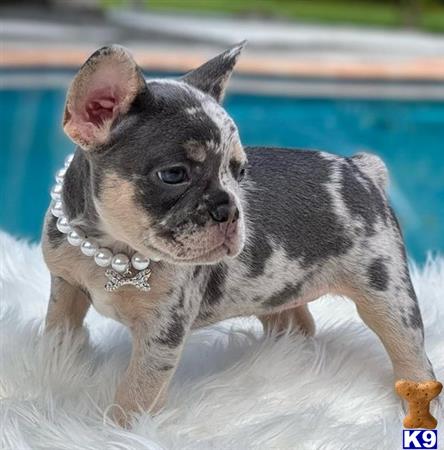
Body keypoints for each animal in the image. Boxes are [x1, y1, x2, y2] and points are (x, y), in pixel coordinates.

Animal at [42, 43, 434, 426]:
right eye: (173, 174)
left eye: (240, 172)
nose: (229, 210)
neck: (111, 249)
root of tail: (361, 169)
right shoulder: (66, 286)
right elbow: (58, 332)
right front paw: (56, 369)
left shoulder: (163, 331)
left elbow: (136, 392)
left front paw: (120, 430)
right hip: (278, 290)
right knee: (297, 323)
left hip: (386, 295)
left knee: (412, 355)